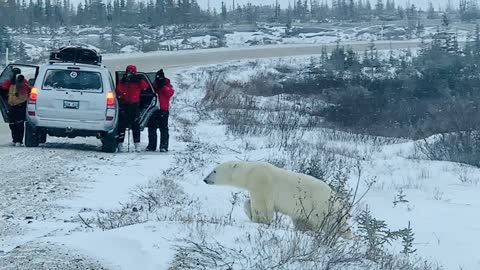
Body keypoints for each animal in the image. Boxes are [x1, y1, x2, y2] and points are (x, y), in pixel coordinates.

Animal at [202, 160, 352, 238]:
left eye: (214, 170)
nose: (205, 179)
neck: (250, 172)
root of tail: (336, 198)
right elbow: (248, 203)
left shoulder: (261, 182)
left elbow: (262, 205)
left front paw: (261, 221)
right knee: (302, 221)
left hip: (320, 205)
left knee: (331, 223)